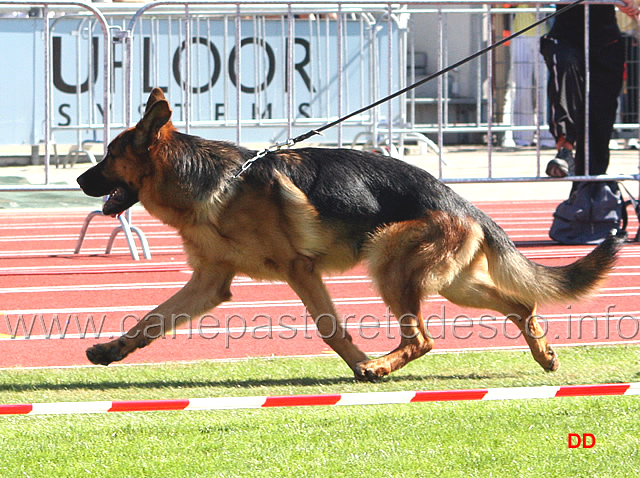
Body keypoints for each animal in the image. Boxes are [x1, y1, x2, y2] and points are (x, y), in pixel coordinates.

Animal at [76, 88, 624, 380]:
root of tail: (463, 202)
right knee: (522, 304)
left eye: (108, 156)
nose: (79, 180)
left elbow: (329, 327)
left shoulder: (300, 270)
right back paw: (544, 354)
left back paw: (381, 366)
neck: (212, 181)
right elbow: (152, 318)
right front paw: (111, 351)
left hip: (390, 262)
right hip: (455, 283)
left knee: (423, 338)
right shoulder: (210, 282)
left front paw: (360, 363)